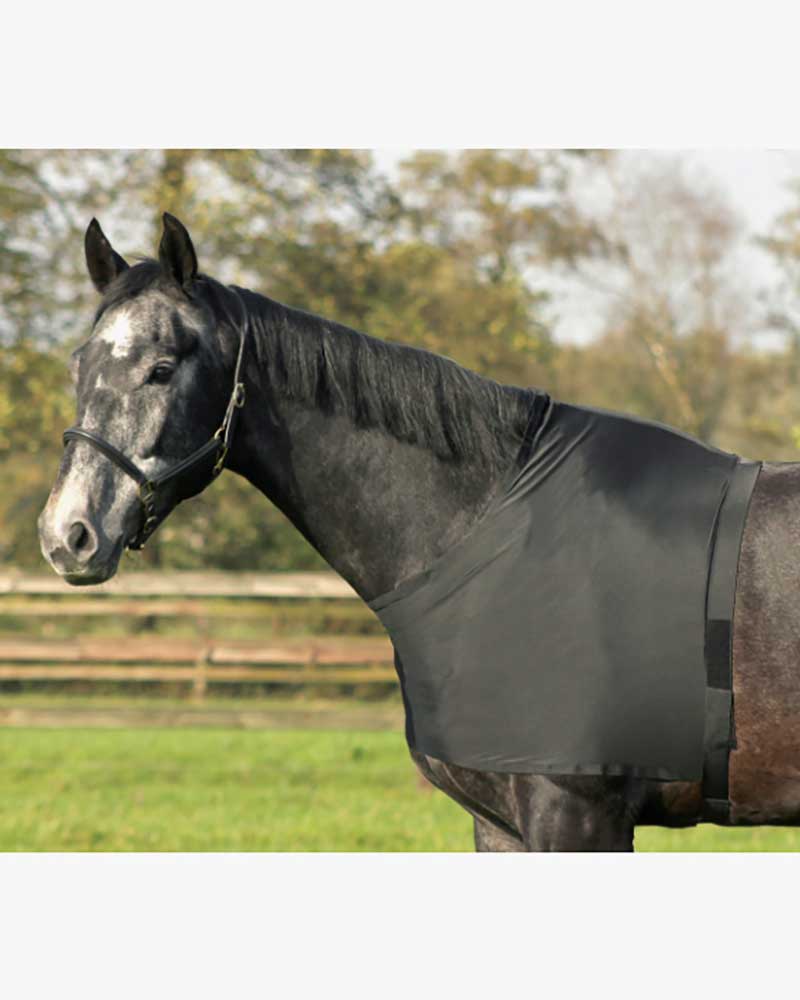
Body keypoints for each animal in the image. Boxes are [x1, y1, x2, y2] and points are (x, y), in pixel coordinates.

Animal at [38, 213, 800, 851]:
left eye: (162, 368)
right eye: (78, 364)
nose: (67, 534)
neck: (490, 531)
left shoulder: (577, 816)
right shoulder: (501, 824)